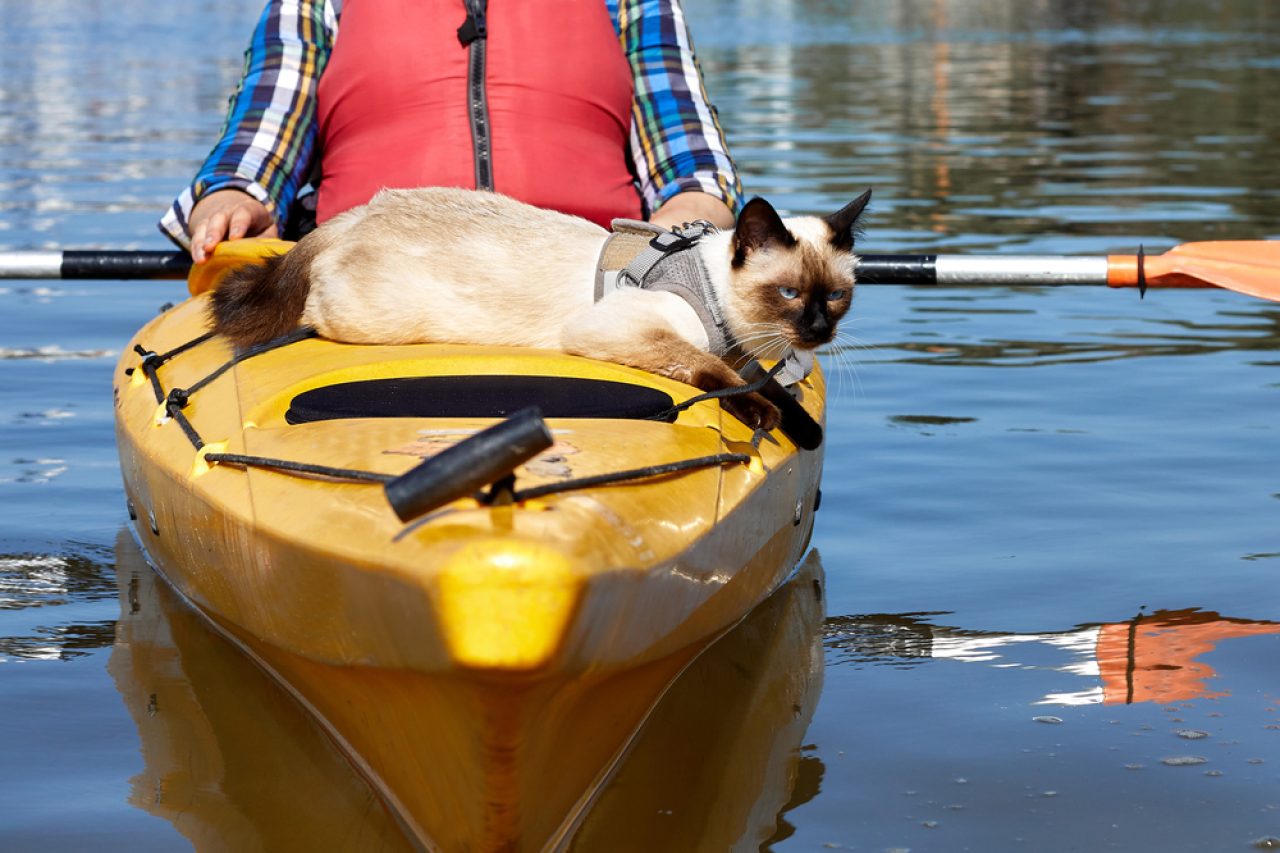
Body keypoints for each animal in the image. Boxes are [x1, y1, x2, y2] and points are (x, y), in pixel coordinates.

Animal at [212, 183, 870, 427]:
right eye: (788, 293)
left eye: (837, 298)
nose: (816, 331)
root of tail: (359, 214)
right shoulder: (619, 329)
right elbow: (717, 371)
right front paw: (764, 412)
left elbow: (764, 379)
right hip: (370, 318)